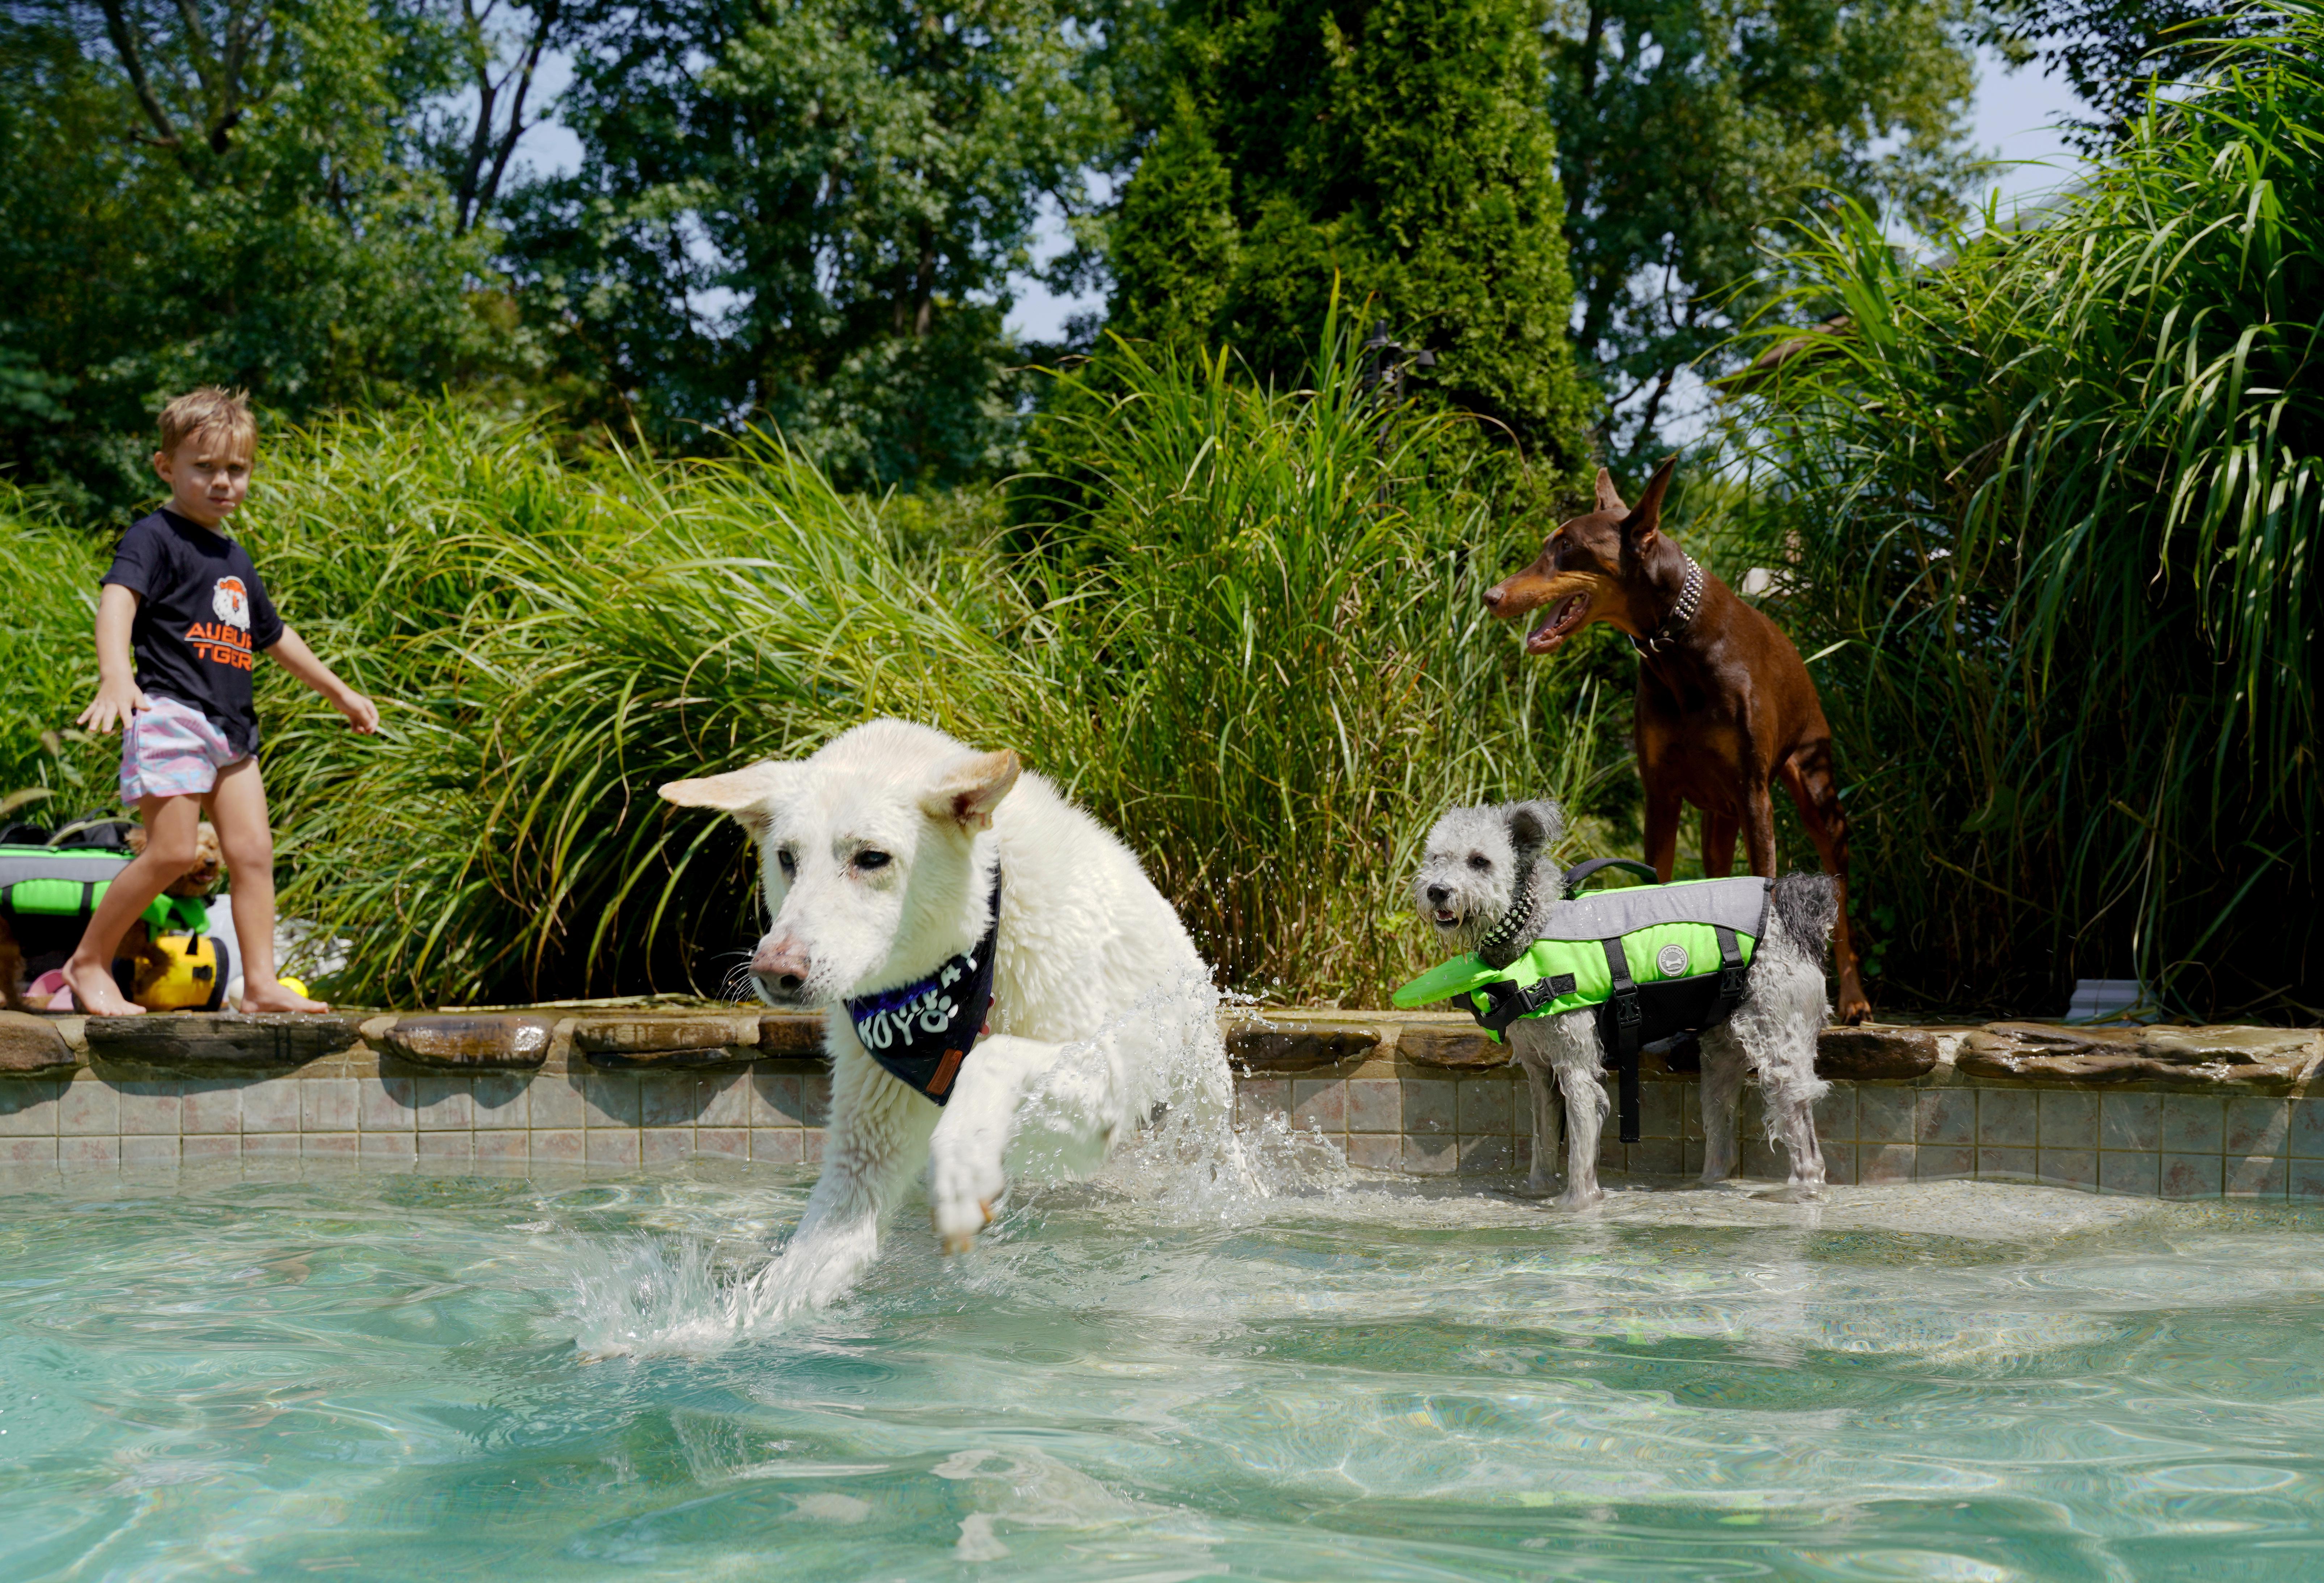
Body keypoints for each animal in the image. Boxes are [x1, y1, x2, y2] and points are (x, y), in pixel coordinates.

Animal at [660, 716, 1236, 1311]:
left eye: (872, 858)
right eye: (787, 858)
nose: (775, 971)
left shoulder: (1095, 1095)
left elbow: (993, 1062)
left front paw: (963, 1163)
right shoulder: (862, 1158)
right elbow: (794, 1278)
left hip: (1202, 1095)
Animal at [1404, 795, 1840, 1199]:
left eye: (1480, 861)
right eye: (1435, 858)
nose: (1437, 891)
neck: (1532, 930)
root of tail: (1796, 911)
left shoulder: (1577, 1069)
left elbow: (1581, 1161)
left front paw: (1577, 1207)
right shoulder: (1539, 1072)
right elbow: (1543, 1149)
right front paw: (1537, 1193)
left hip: (1780, 1049)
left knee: (1809, 1153)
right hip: (1720, 1058)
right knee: (1723, 1148)